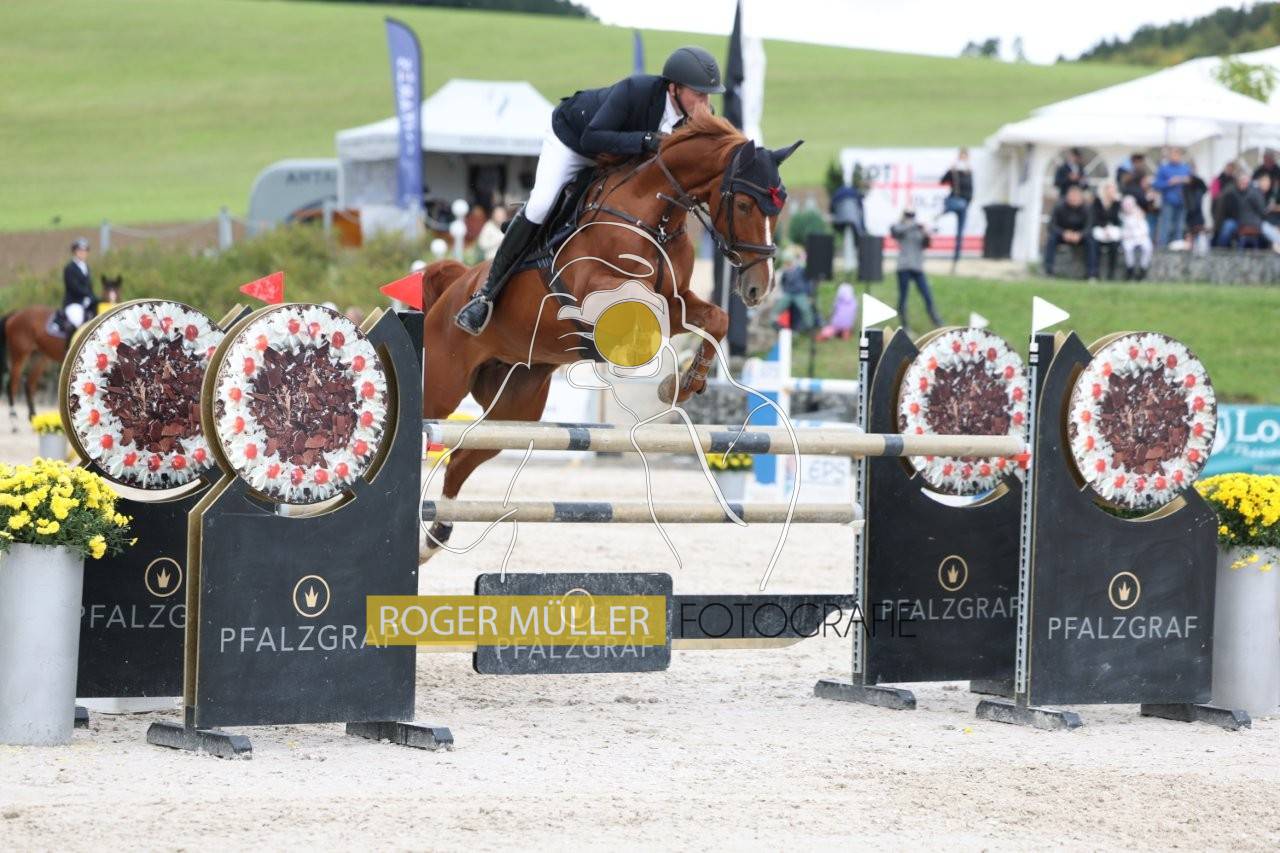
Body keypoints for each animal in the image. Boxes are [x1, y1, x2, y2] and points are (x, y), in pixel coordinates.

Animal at [0, 274, 122, 428]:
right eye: (106, 292)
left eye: (117, 292)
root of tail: (16, 314)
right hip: (19, 354)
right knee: (12, 385)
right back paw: (14, 421)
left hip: (40, 357)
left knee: (29, 384)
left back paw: (34, 418)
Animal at [418, 112, 801, 558]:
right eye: (742, 204)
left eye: (780, 206)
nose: (760, 286)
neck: (654, 216)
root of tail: (455, 285)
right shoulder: (594, 289)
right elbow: (639, 309)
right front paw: (634, 359)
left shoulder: (677, 300)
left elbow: (716, 318)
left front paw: (681, 384)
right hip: (441, 384)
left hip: (515, 407)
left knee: (463, 458)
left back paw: (435, 537)